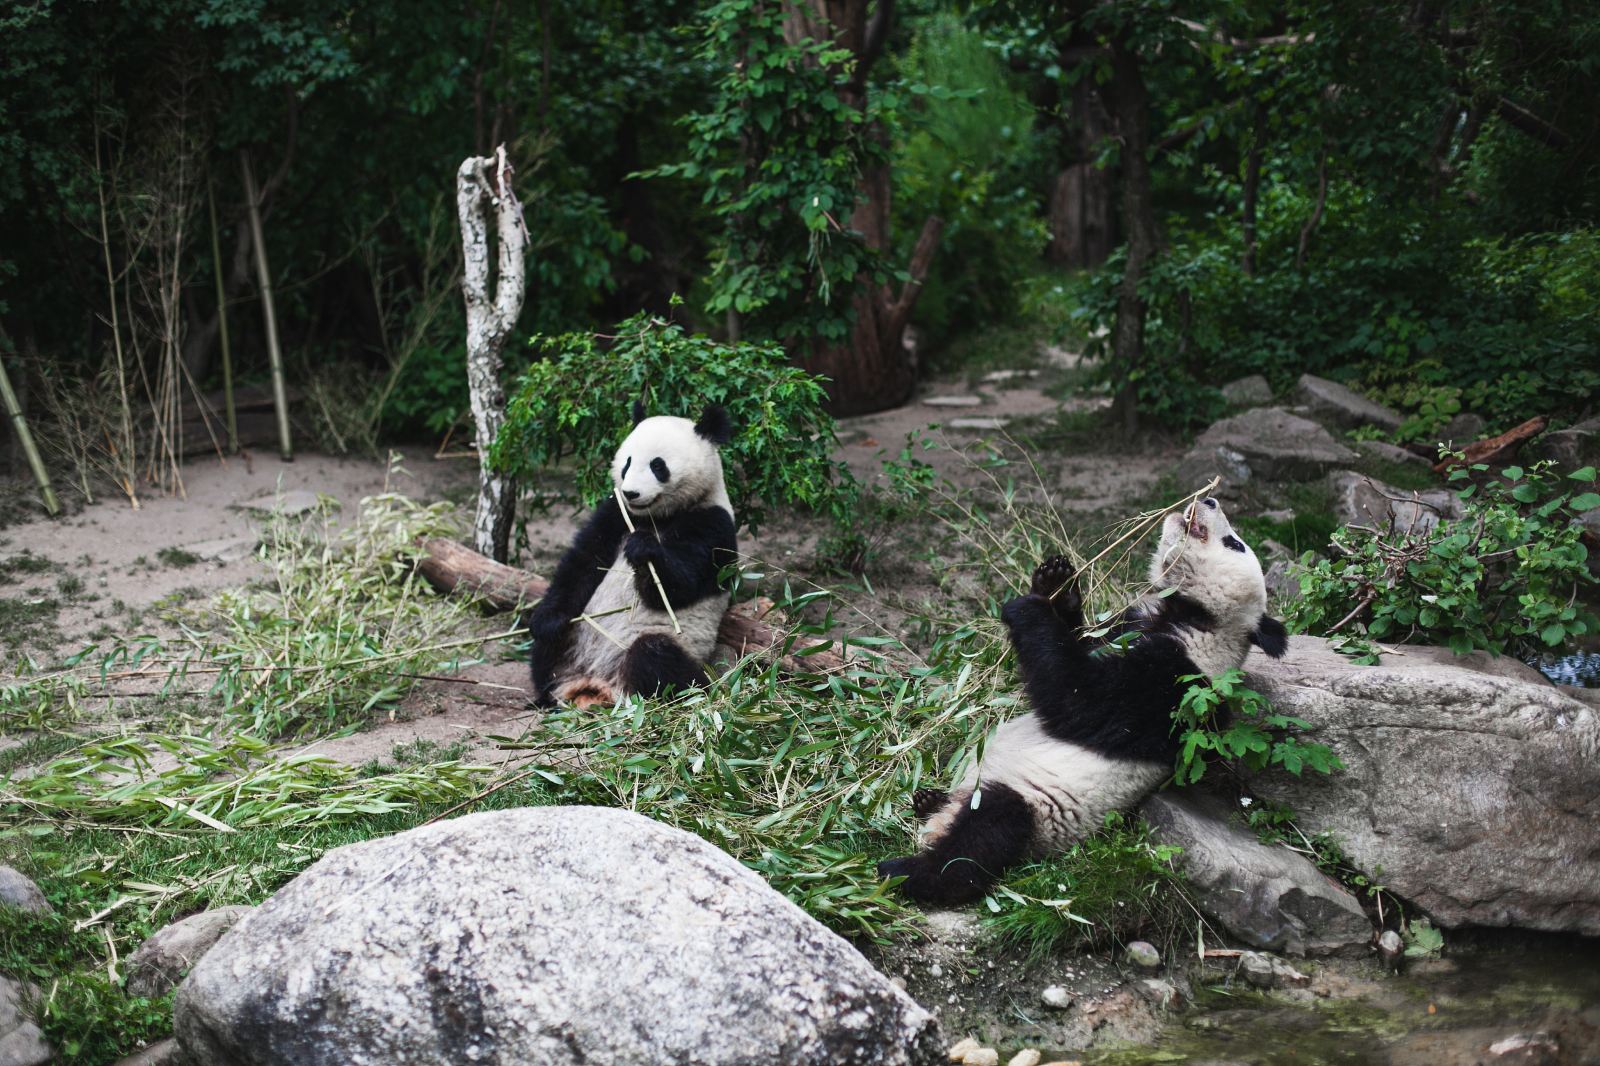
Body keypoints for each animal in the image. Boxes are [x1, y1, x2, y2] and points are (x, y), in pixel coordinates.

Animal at [531, 404, 742, 704]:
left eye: (658, 465)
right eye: (627, 462)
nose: (631, 493)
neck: (656, 517)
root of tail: (597, 683)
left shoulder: (712, 524)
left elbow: (677, 587)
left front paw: (643, 549)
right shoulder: (615, 513)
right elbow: (583, 563)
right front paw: (549, 620)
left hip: (670, 643)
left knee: (655, 656)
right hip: (575, 636)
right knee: (546, 652)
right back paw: (550, 691)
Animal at [876, 492, 1286, 902]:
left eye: (1234, 543)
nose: (1210, 498)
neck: (1193, 617)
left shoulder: (1178, 684)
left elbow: (1077, 697)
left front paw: (1030, 606)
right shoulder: (1127, 628)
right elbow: (1078, 644)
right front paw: (1056, 583)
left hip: (1033, 808)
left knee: (983, 837)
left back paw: (903, 871)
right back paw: (928, 800)